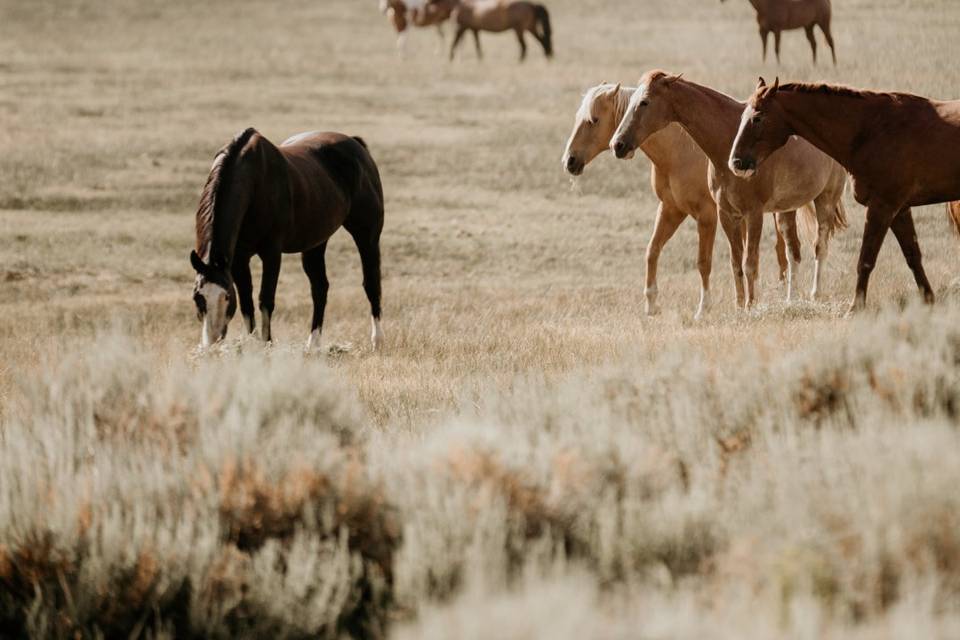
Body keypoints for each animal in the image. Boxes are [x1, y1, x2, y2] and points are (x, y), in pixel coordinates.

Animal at [189, 127, 384, 352]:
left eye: (226, 296)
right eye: (197, 297)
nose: (211, 341)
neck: (254, 184)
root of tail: (356, 144)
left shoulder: (271, 254)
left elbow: (266, 300)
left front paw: (267, 344)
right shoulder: (238, 259)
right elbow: (247, 302)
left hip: (367, 236)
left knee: (371, 283)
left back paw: (377, 341)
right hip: (315, 244)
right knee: (320, 288)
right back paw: (313, 344)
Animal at [560, 81, 800, 318]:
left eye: (594, 120)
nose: (569, 161)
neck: (679, 153)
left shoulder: (707, 217)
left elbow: (704, 262)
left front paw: (703, 309)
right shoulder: (671, 209)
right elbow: (652, 251)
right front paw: (651, 305)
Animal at [612, 72, 844, 308]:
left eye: (644, 102)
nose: (618, 145)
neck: (729, 142)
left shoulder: (753, 214)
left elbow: (750, 263)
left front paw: (751, 306)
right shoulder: (727, 214)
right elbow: (736, 263)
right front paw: (739, 306)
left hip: (826, 199)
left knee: (820, 247)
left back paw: (816, 294)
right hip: (786, 211)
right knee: (793, 251)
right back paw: (791, 299)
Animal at [728, 79, 960, 314]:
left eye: (757, 117)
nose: (736, 162)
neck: (872, 129)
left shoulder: (883, 207)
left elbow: (866, 259)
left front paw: (855, 307)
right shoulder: (899, 209)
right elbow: (913, 255)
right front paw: (928, 299)